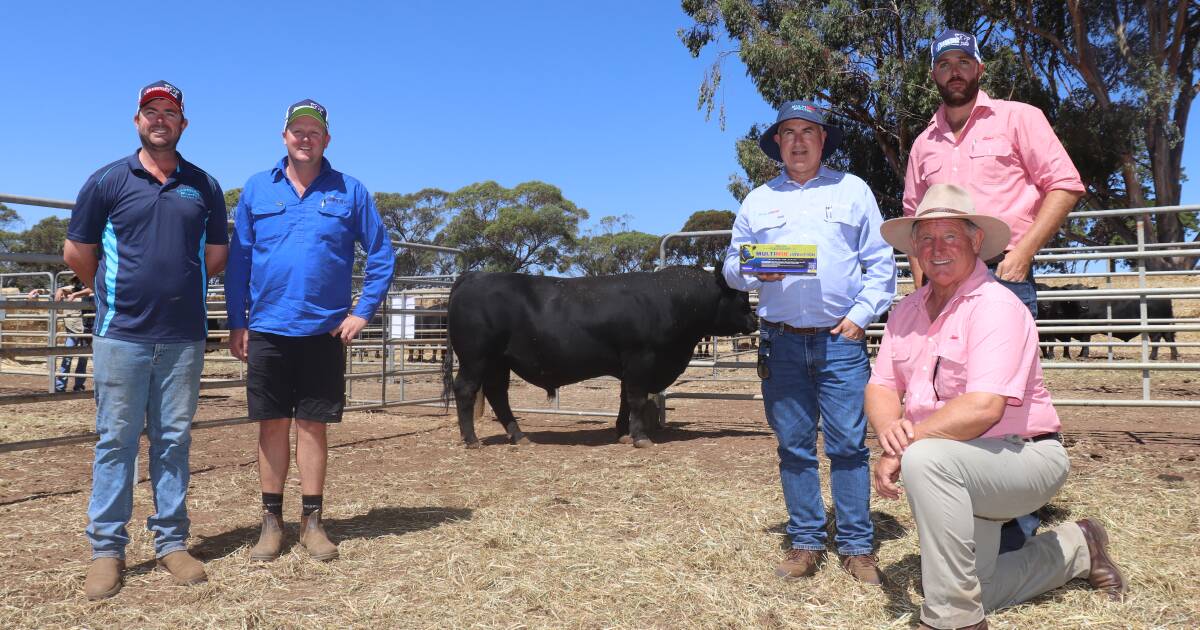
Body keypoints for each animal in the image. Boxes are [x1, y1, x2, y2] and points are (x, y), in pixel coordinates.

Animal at [441, 265, 758, 446]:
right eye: (742, 298)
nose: (755, 320)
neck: (670, 299)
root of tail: (473, 276)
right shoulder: (640, 358)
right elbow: (636, 398)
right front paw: (640, 438)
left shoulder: (629, 365)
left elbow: (624, 400)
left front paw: (622, 432)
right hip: (476, 358)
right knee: (466, 389)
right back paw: (472, 439)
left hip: (499, 362)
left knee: (498, 394)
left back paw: (519, 436)